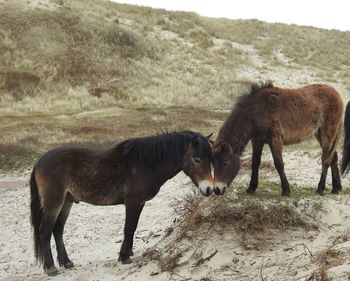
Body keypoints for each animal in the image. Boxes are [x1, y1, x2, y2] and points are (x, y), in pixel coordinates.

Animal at [30, 130, 213, 274]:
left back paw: (67, 262)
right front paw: (124, 256)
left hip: (66, 202)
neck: (146, 163)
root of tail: (40, 161)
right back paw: (50, 267)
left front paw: (128, 252)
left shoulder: (140, 203)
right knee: (45, 231)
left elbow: (133, 227)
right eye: (196, 159)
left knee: (57, 230)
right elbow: (129, 228)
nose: (209, 189)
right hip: (54, 203)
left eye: (210, 159)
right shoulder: (133, 202)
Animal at [212, 81, 344, 195]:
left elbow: (279, 164)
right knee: (333, 157)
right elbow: (255, 163)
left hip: (327, 134)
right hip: (320, 134)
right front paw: (251, 188)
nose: (217, 190)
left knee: (326, 159)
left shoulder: (275, 139)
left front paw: (286, 190)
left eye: (225, 163)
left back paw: (320, 189)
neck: (256, 110)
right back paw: (336, 188)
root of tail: (337, 95)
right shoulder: (257, 141)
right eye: (213, 164)